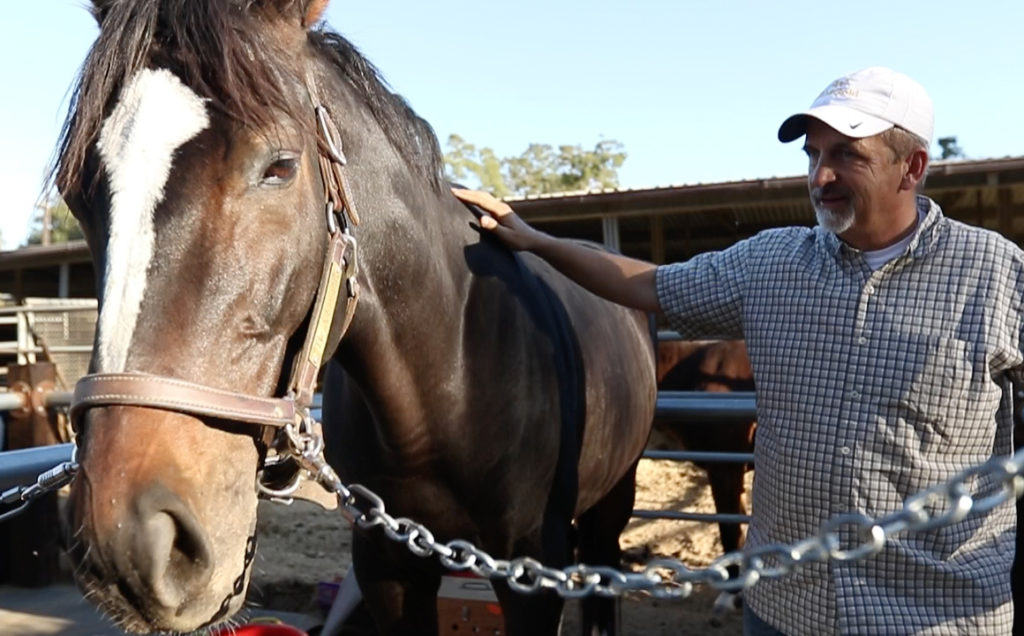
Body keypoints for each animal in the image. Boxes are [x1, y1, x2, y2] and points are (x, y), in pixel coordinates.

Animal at [56, 1, 651, 634]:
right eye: (75, 194)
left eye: (280, 167)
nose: (127, 540)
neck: (452, 381)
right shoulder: (387, 562)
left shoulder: (532, 571)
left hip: (612, 504)